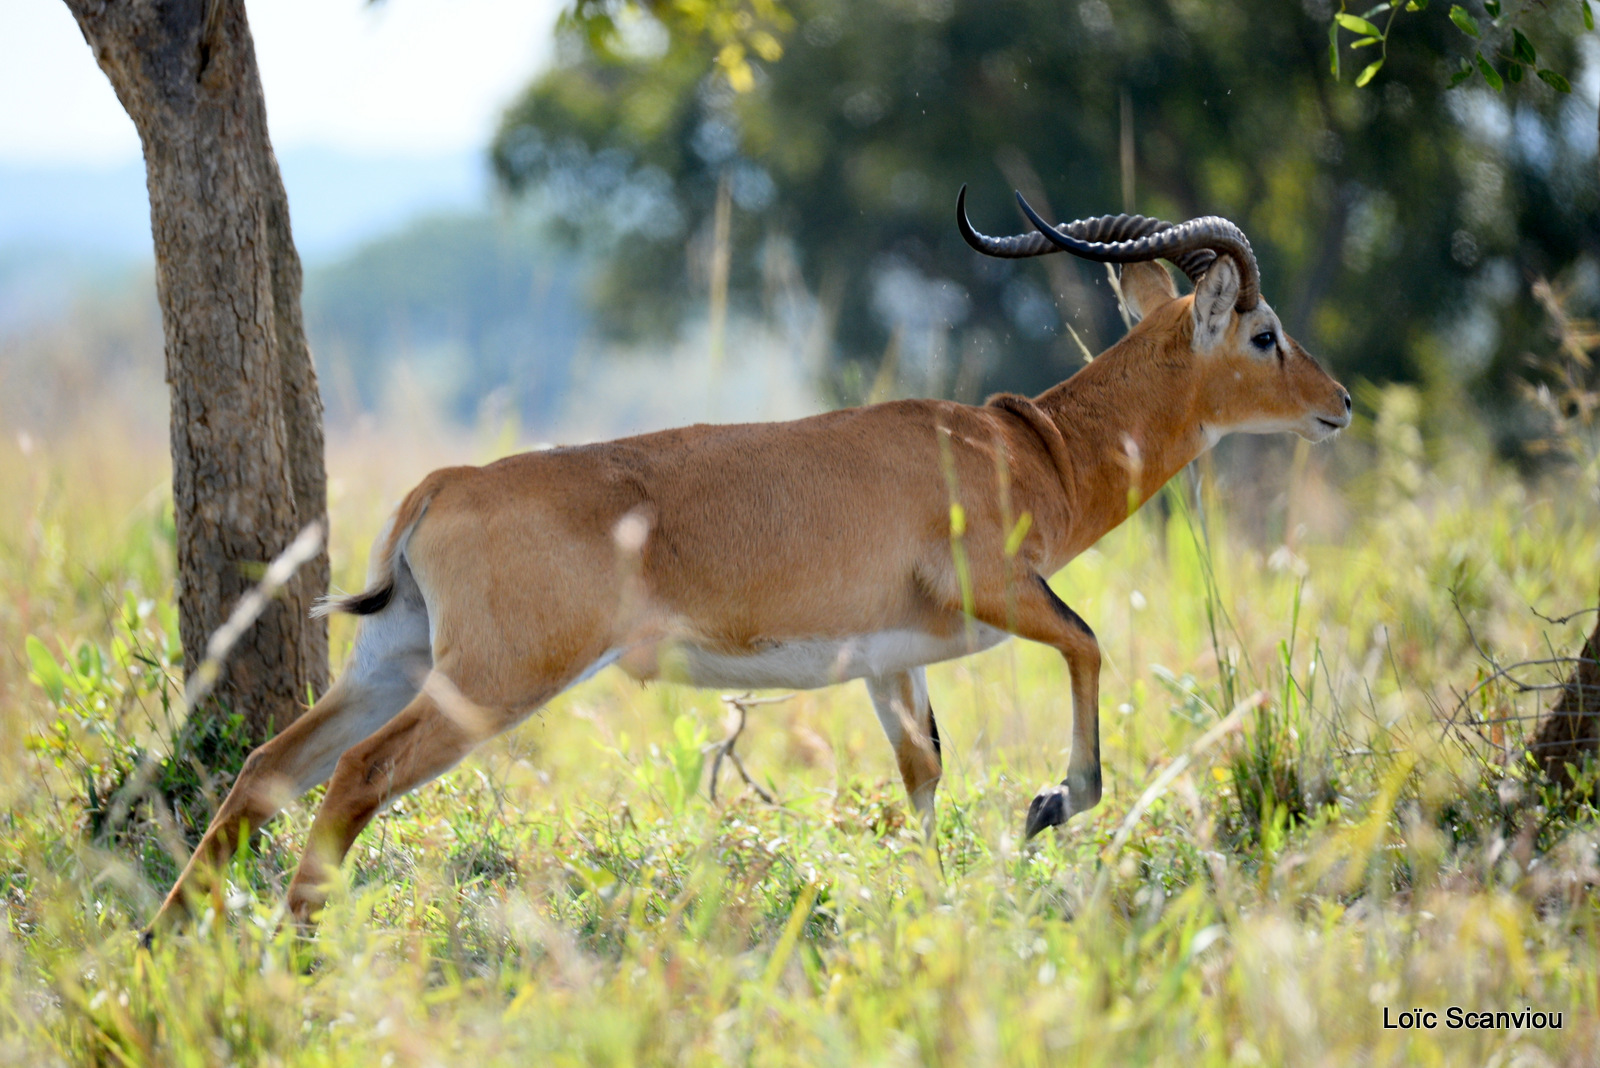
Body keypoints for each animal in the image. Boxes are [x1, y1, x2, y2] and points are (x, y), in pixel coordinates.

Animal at [147, 191, 1350, 933]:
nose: (1337, 403)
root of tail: (443, 484)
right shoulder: (1005, 596)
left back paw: (172, 945)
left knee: (266, 769)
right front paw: (1055, 803)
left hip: (391, 662)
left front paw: (935, 903)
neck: (1030, 450)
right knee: (354, 776)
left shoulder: (887, 661)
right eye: (1264, 334)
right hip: (491, 683)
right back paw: (295, 949)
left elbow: (922, 775)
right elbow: (1091, 646)